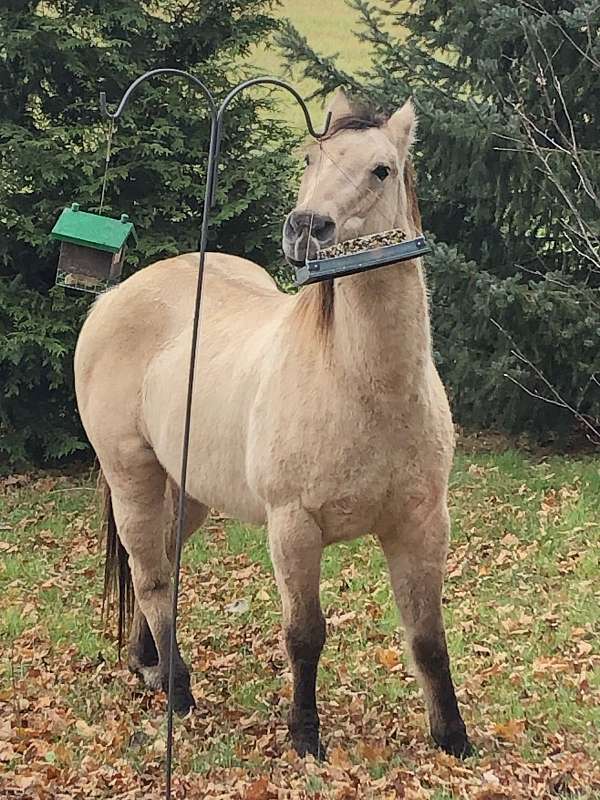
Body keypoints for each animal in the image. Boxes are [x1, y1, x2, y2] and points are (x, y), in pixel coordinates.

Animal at [72, 90, 472, 760]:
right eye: (310, 157)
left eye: (382, 169)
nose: (307, 228)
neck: (363, 385)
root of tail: (113, 297)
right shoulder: (294, 527)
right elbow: (306, 634)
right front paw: (305, 736)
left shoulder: (422, 524)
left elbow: (428, 637)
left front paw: (454, 740)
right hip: (132, 477)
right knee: (151, 579)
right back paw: (178, 691)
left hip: (188, 491)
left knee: (159, 567)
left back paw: (147, 664)